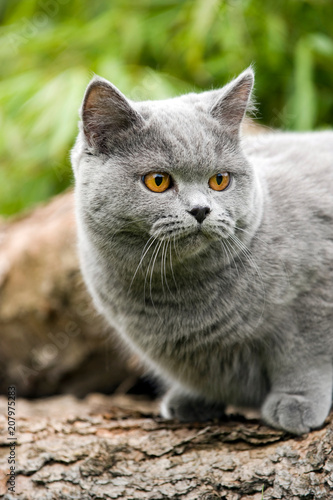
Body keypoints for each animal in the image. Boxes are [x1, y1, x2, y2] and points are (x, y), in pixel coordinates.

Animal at [70, 67, 332, 434]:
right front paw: (193, 400)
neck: (178, 293)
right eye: (158, 181)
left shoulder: (315, 291)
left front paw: (297, 402)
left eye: (219, 180)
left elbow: (305, 354)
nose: (200, 209)